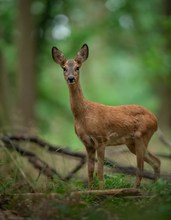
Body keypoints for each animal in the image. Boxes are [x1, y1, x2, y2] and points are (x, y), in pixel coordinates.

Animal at [51, 43, 160, 189]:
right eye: (64, 68)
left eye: (77, 67)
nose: (71, 78)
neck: (83, 114)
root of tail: (155, 120)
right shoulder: (87, 143)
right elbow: (90, 170)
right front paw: (90, 191)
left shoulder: (101, 139)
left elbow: (100, 170)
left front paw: (101, 191)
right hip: (131, 142)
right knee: (156, 161)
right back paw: (155, 187)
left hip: (141, 135)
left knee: (141, 167)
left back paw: (135, 190)